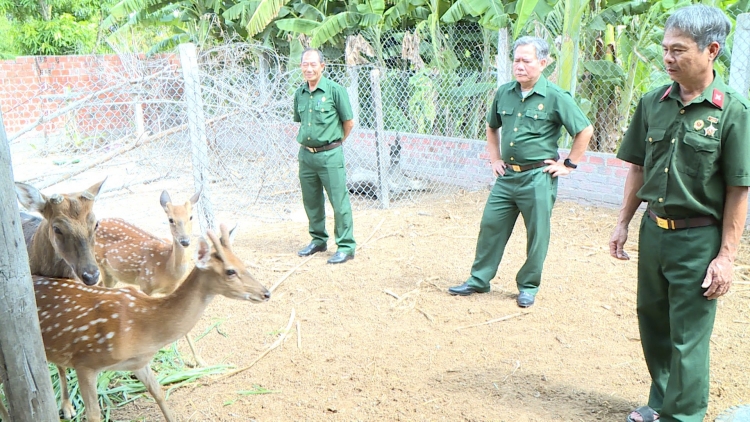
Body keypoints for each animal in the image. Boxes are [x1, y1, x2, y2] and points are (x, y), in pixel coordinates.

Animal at [0, 224, 270, 422]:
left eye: (243, 263)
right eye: (230, 271)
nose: (266, 292)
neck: (141, 327)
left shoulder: (139, 362)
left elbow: (159, 392)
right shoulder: (86, 361)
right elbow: (94, 415)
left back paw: (66, 406)